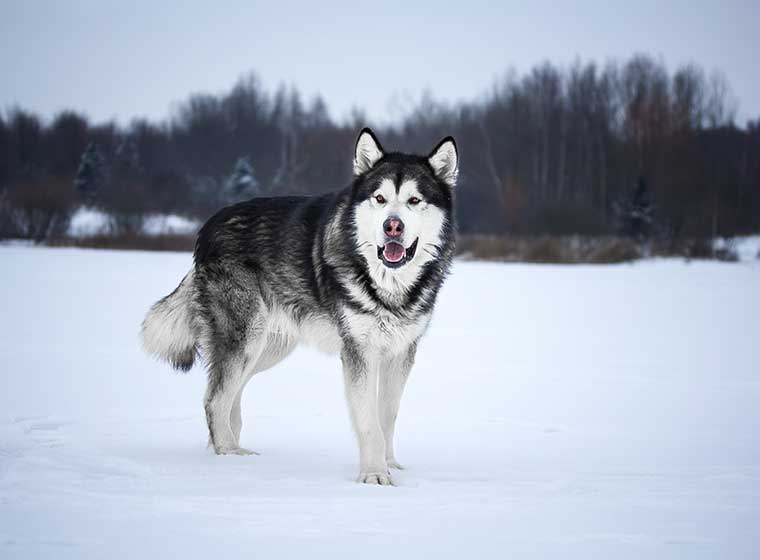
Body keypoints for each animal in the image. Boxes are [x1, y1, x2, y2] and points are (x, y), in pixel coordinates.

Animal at [142, 128, 458, 486]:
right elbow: (368, 422)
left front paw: (390, 464)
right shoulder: (358, 352)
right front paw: (374, 474)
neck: (388, 285)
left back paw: (232, 450)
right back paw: (228, 460)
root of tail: (207, 228)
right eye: (379, 198)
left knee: (228, 397)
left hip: (266, 348)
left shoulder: (401, 352)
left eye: (414, 201)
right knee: (214, 400)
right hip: (246, 339)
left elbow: (386, 415)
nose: (393, 226)